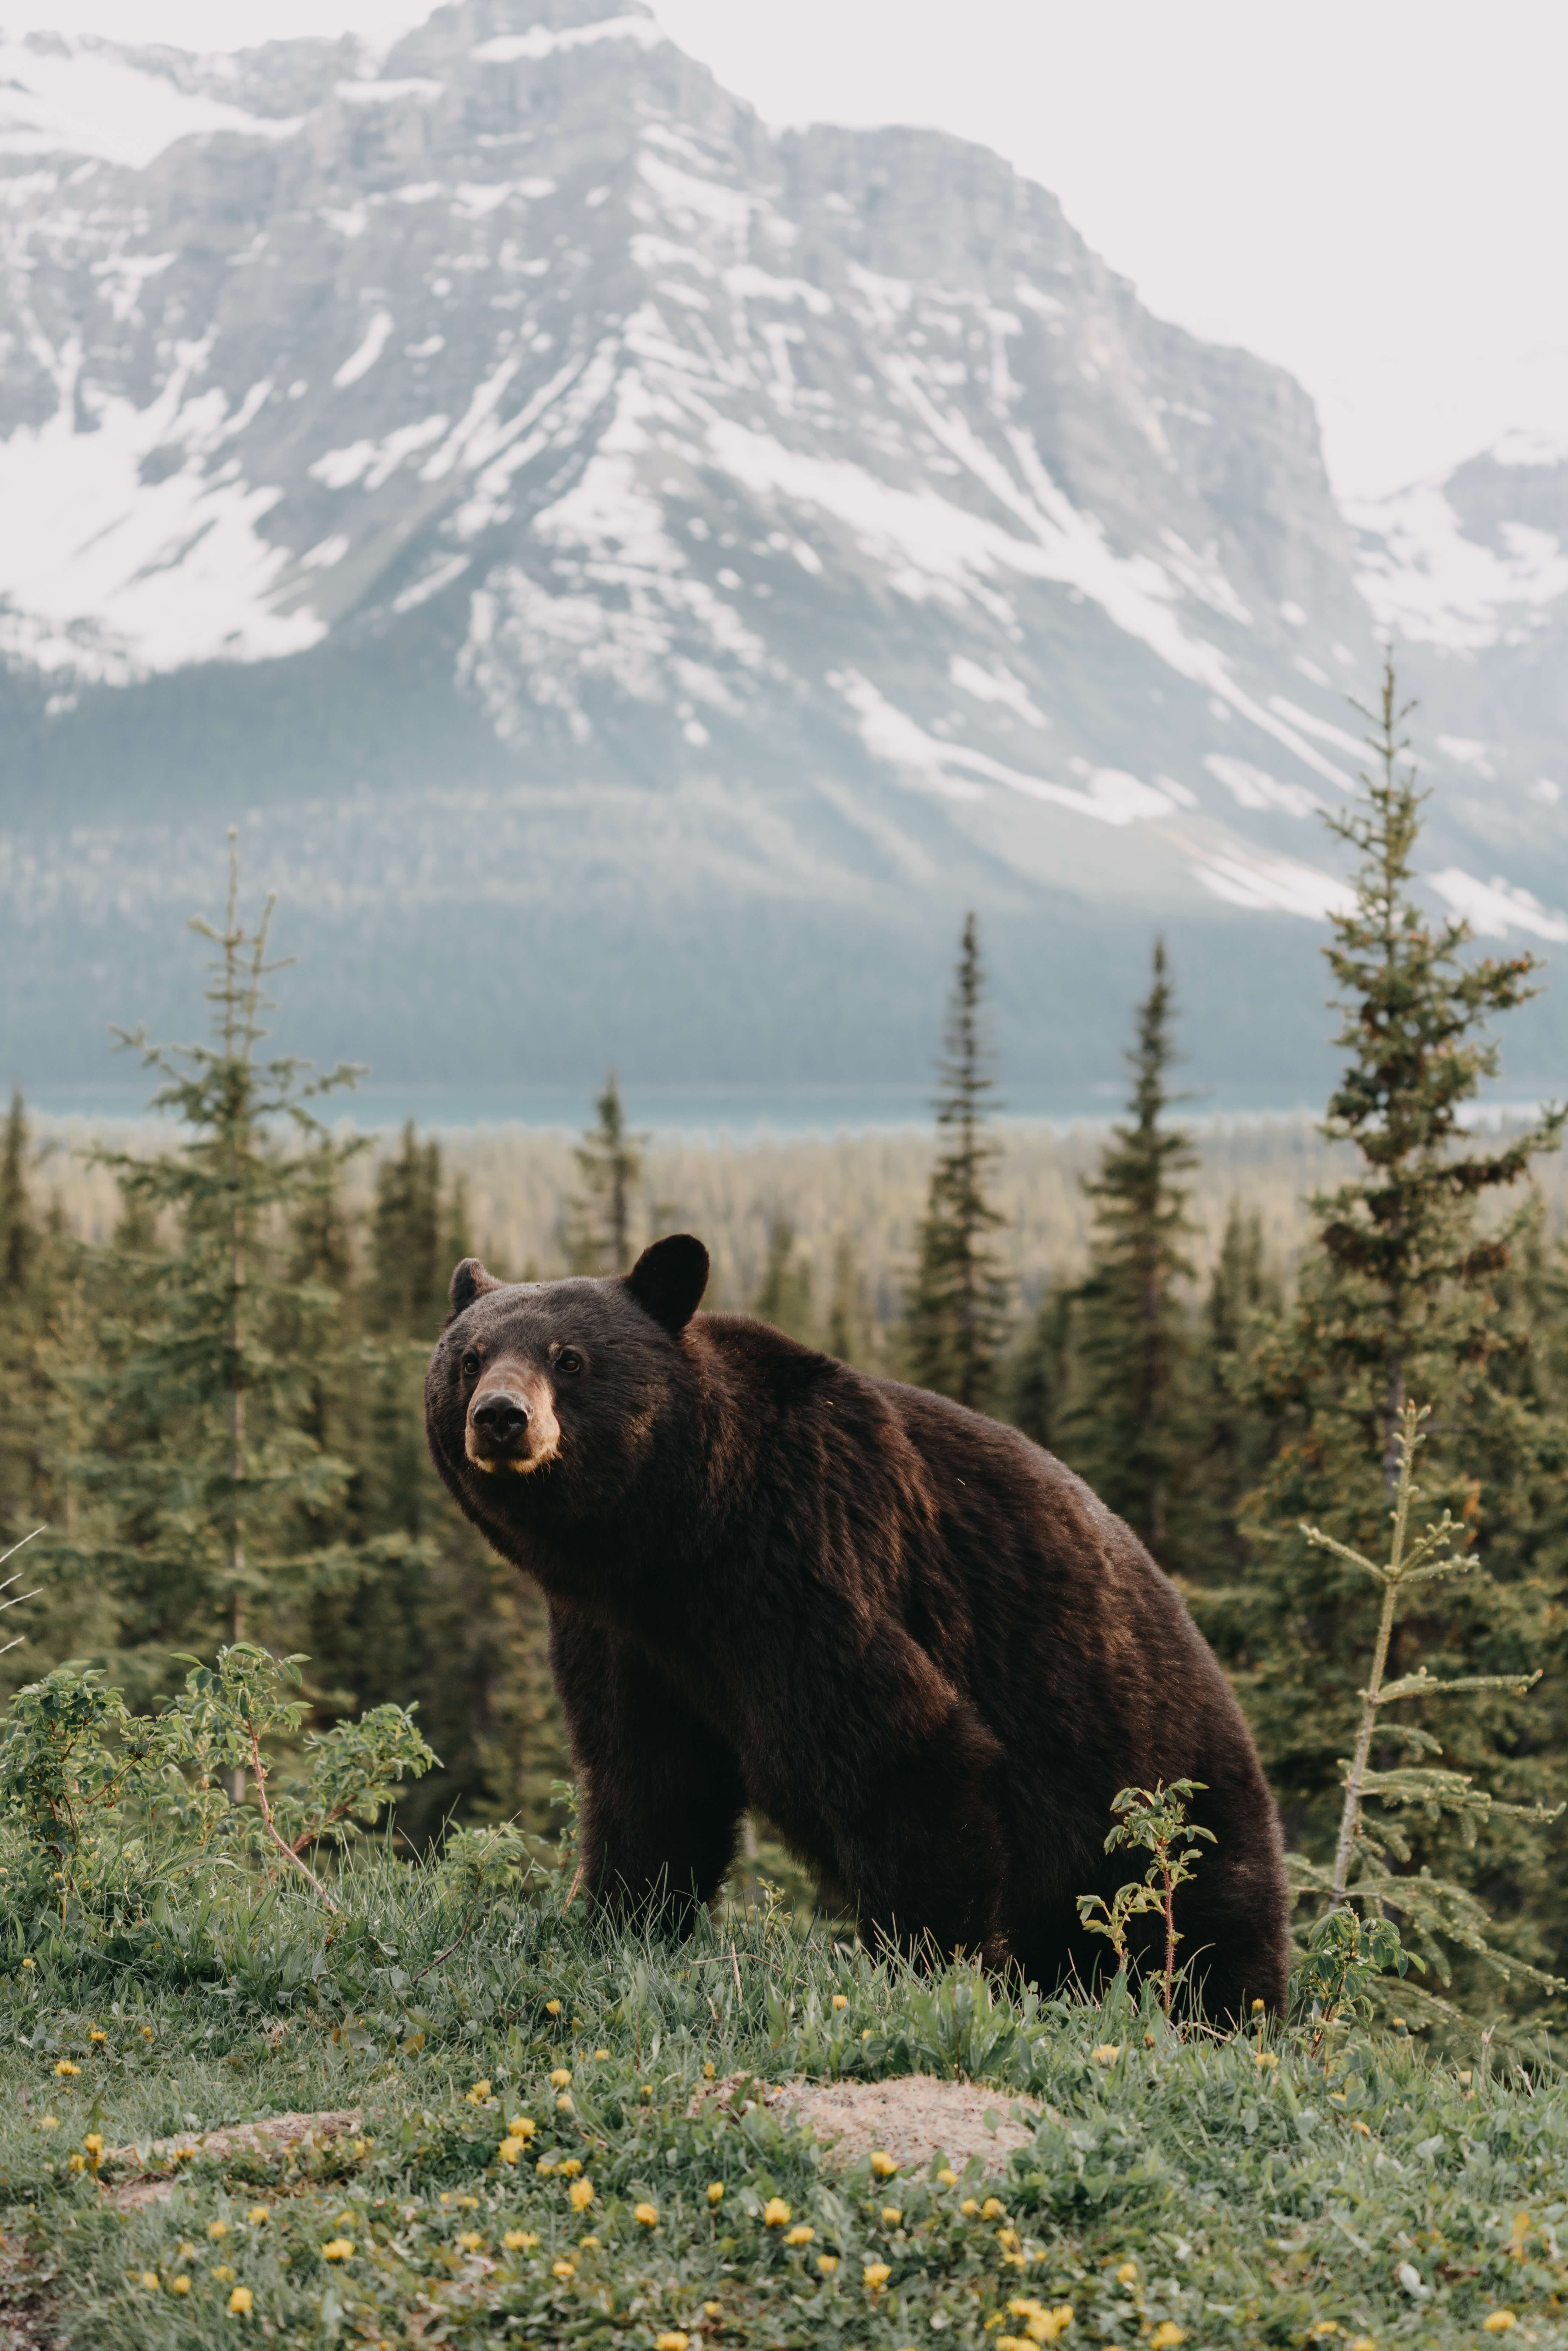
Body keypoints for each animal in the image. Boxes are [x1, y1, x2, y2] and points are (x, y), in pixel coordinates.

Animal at [424, 1233, 1288, 2019]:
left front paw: (926, 1965)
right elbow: (646, 1778)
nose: (500, 1417)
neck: (675, 1543)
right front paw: (618, 1919)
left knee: (1207, 1930)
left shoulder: (807, 1561)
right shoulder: (619, 1636)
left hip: (1164, 1804)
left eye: (569, 1359)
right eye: (468, 1358)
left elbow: (903, 1753)